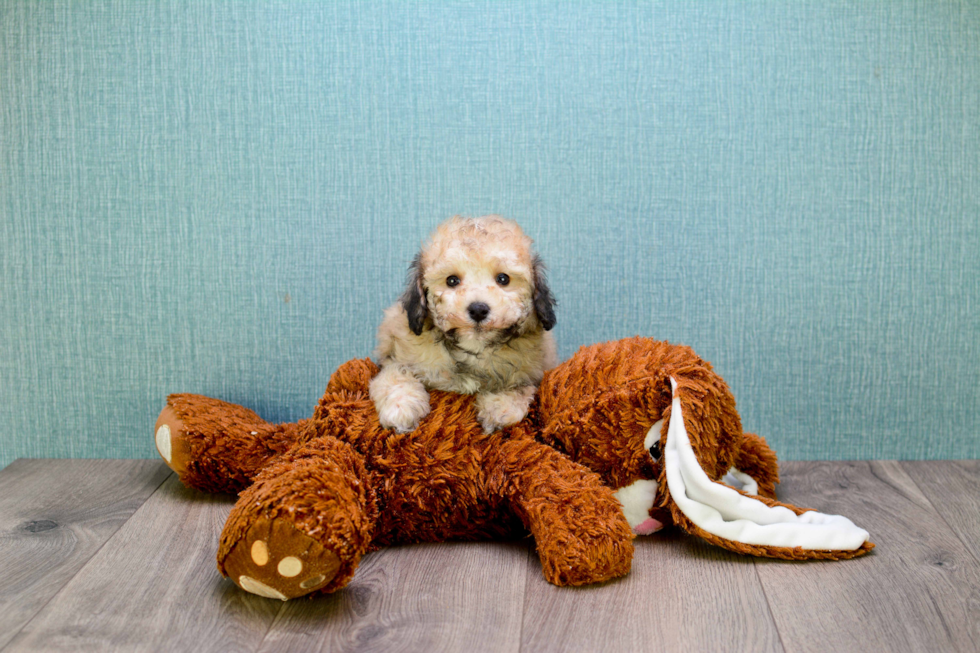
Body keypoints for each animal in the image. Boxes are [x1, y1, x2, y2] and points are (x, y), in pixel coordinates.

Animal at [370, 216, 560, 436]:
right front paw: (402, 408)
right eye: (452, 280)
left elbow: (518, 385)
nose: (478, 309)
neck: (472, 349)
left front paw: (500, 408)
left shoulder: (532, 370)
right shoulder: (394, 357)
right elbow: (395, 375)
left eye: (503, 279)